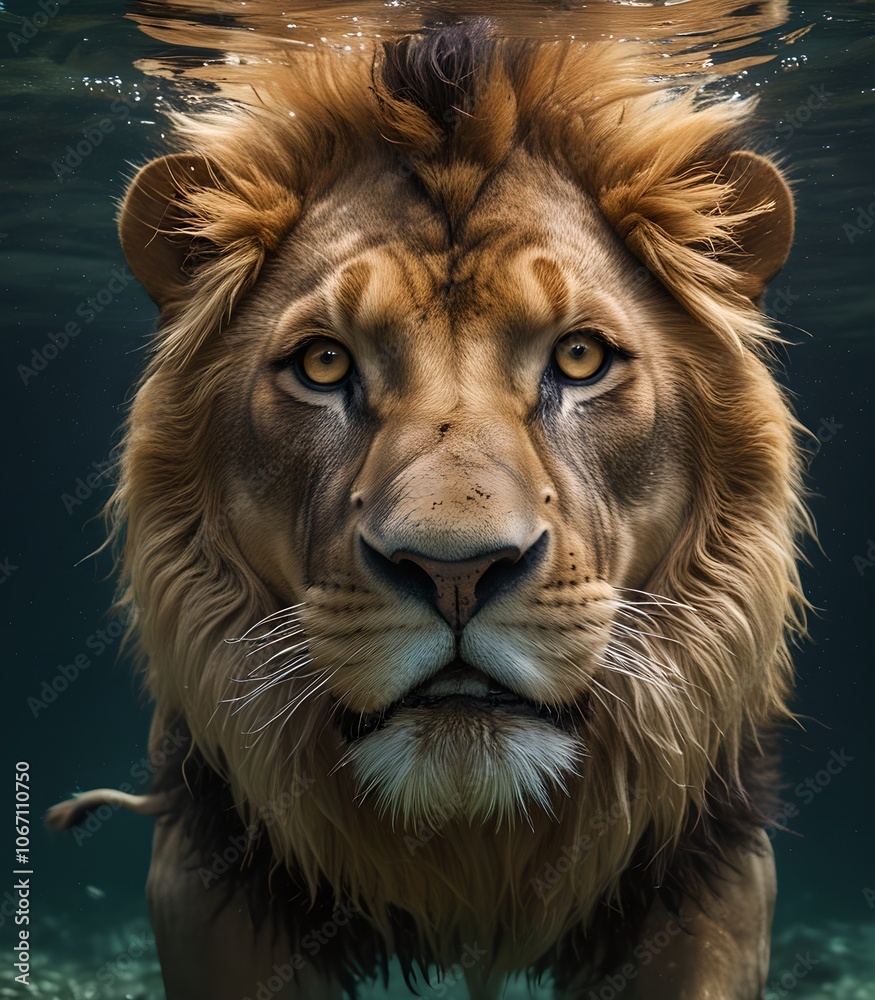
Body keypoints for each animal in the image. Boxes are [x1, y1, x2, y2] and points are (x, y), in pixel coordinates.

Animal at [47, 19, 808, 1000]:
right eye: (324, 364)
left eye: (579, 357)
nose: (455, 573)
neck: (468, 848)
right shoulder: (207, 879)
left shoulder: (710, 878)